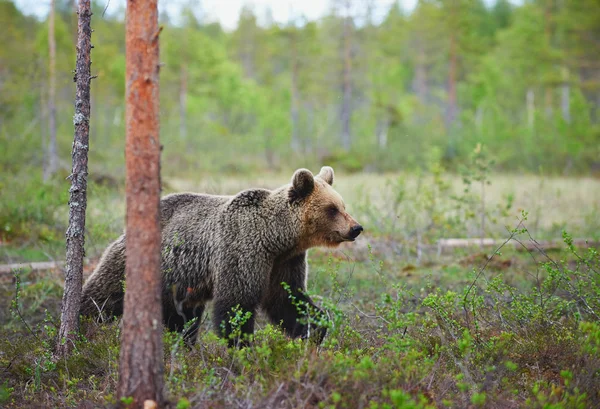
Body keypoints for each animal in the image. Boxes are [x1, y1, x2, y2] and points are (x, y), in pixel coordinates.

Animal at [79, 166, 360, 344]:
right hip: (139, 263)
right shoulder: (242, 250)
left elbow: (288, 299)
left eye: (343, 205)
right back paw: (80, 324)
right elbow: (236, 303)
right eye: (332, 209)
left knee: (182, 319)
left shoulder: (284, 262)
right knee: (104, 294)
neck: (275, 237)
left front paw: (317, 328)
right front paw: (241, 346)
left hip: (182, 283)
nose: (356, 228)